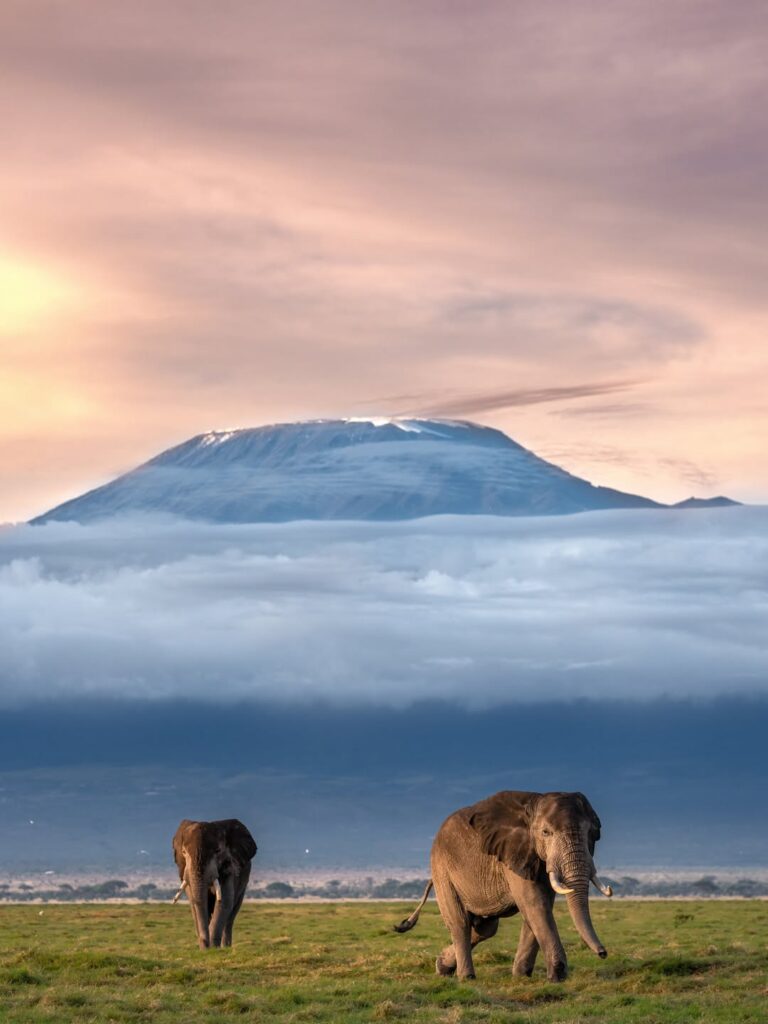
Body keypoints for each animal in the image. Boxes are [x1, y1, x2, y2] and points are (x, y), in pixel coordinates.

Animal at [172, 818, 257, 949]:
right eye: (184, 852)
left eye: (218, 851)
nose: (206, 946)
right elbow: (195, 903)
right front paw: (204, 948)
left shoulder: (229, 866)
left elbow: (225, 901)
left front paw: (213, 947)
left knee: (231, 915)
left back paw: (226, 947)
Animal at [394, 790, 612, 981]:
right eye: (546, 832)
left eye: (592, 833)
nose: (603, 953)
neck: (534, 804)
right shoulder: (512, 855)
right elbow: (535, 904)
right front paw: (557, 977)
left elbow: (539, 907)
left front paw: (522, 975)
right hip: (442, 870)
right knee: (460, 923)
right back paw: (466, 977)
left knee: (486, 927)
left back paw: (442, 967)